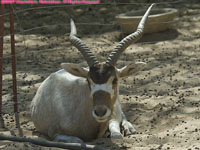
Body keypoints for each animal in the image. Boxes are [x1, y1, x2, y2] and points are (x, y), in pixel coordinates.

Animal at [30, 4, 154, 143]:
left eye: (114, 80)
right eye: (89, 81)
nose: (100, 112)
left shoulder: (112, 116)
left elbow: (117, 135)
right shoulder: (53, 133)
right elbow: (77, 140)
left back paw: (129, 128)